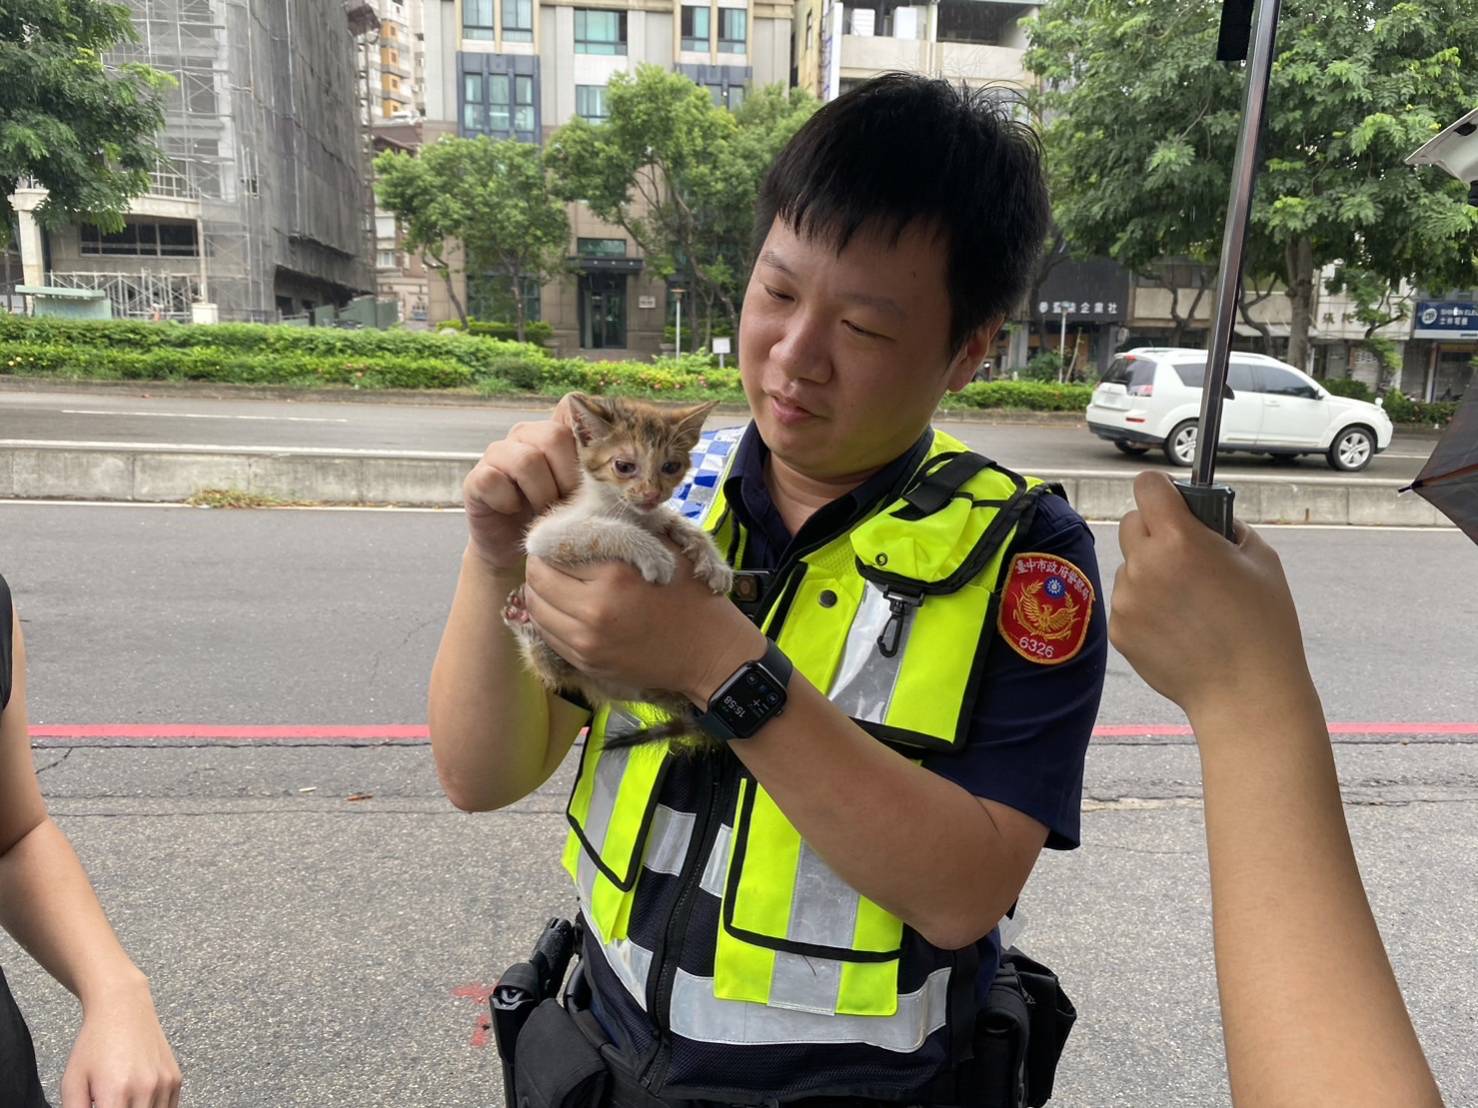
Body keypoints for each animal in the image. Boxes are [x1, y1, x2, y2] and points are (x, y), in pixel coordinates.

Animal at [505, 395, 736, 750]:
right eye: (624, 466)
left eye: (671, 466)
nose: (653, 494)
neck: (627, 511)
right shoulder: (546, 534)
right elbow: (600, 529)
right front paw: (653, 552)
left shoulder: (654, 514)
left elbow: (676, 522)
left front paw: (714, 562)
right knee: (555, 671)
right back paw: (523, 622)